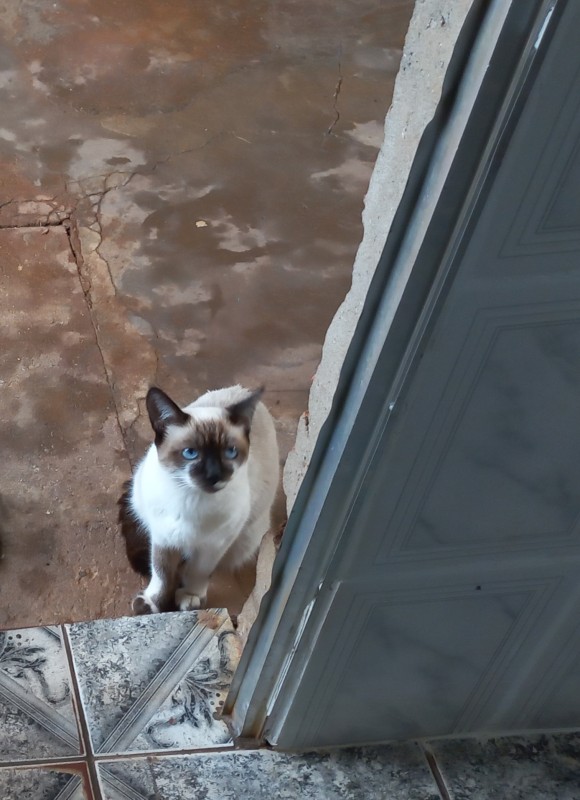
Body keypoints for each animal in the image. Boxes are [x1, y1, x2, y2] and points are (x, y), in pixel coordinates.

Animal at [118, 384, 278, 616]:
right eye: (190, 453)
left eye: (230, 452)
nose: (214, 476)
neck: (191, 499)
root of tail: (241, 389)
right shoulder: (163, 538)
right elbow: (161, 573)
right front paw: (153, 603)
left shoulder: (214, 545)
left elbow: (198, 572)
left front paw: (189, 597)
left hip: (245, 540)